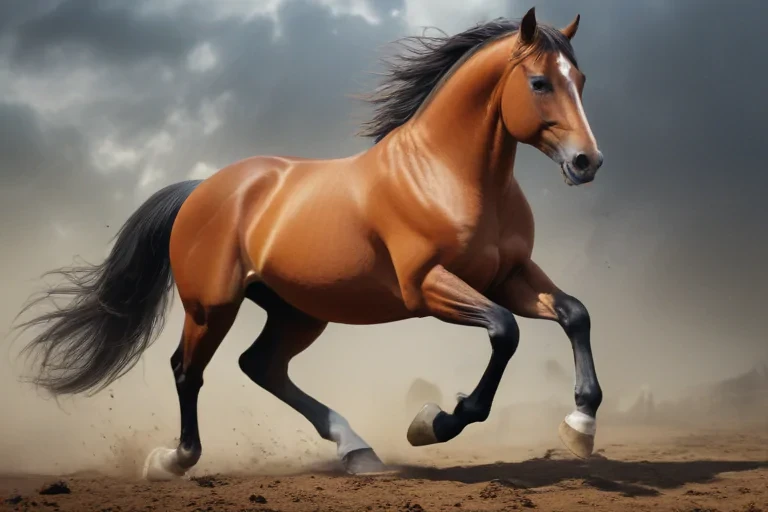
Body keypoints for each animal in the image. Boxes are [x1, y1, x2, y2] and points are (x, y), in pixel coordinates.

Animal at [12, 7, 604, 480]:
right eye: (539, 83)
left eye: (579, 78)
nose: (587, 162)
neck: (446, 174)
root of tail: (201, 189)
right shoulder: (428, 286)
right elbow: (504, 332)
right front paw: (433, 423)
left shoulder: (510, 275)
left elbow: (574, 314)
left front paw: (580, 425)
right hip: (212, 306)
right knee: (188, 369)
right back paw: (173, 460)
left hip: (298, 311)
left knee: (261, 366)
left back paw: (358, 450)